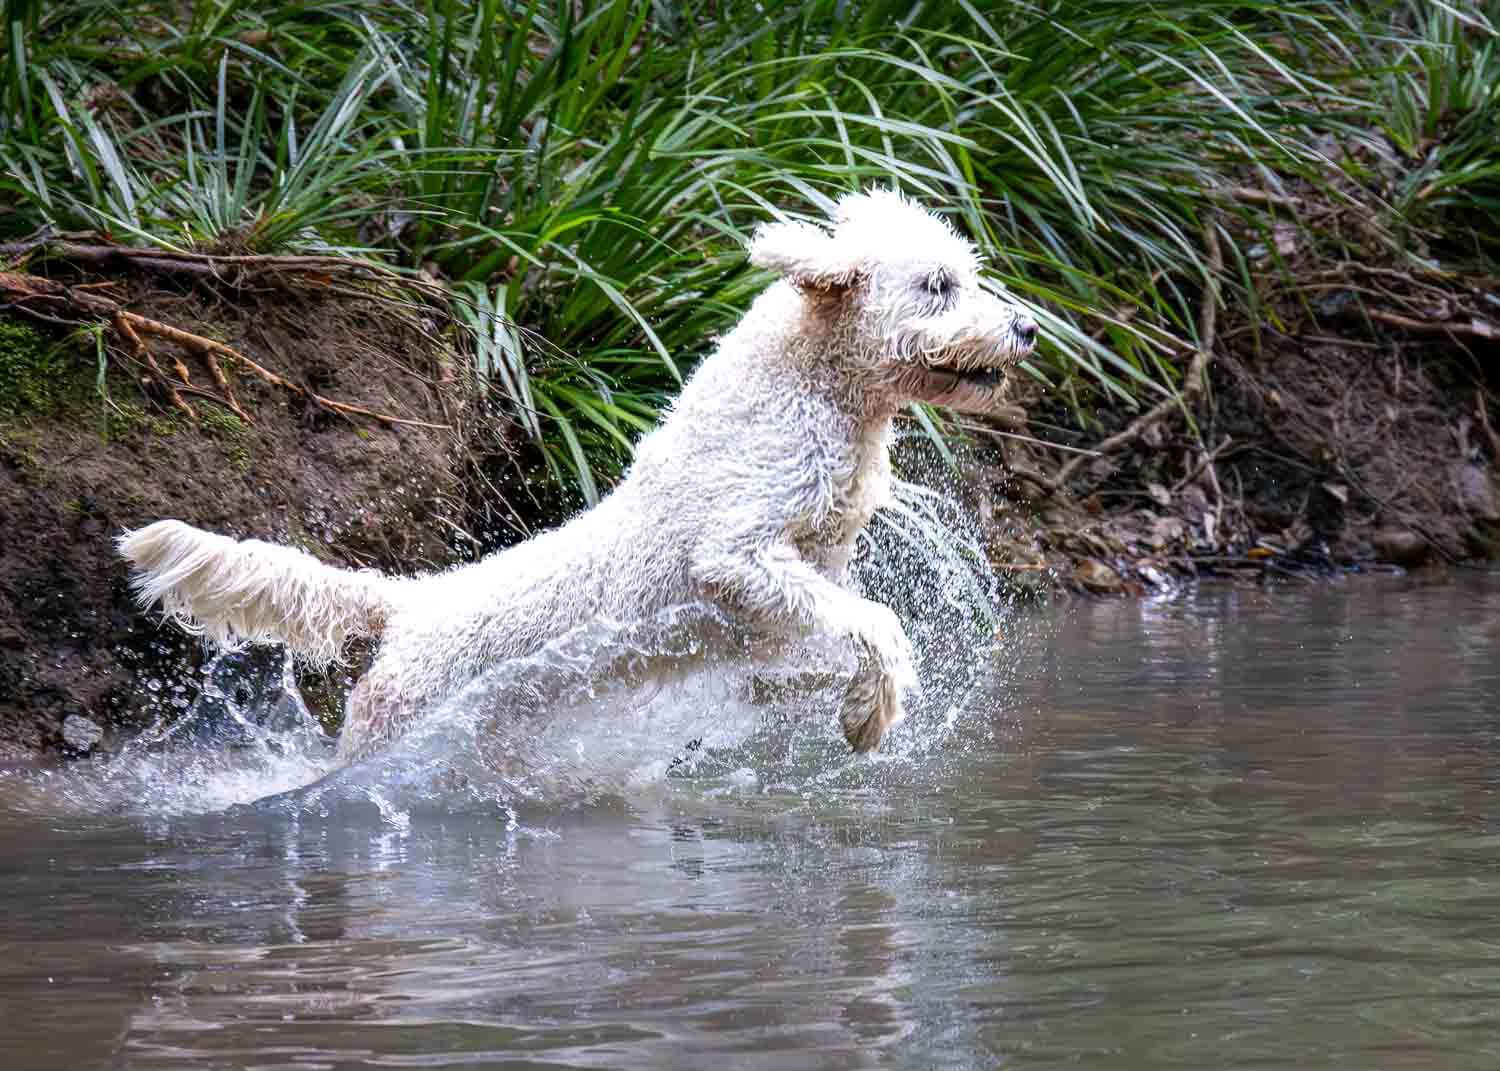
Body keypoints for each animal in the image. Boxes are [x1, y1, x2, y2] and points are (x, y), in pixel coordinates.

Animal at [120, 192, 1032, 759]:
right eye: (938, 285)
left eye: (968, 273)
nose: (1025, 327)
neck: (808, 391)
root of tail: (409, 604)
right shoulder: (735, 555)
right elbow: (876, 621)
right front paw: (870, 715)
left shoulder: (808, 570)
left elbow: (828, 635)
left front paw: (843, 698)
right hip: (395, 721)